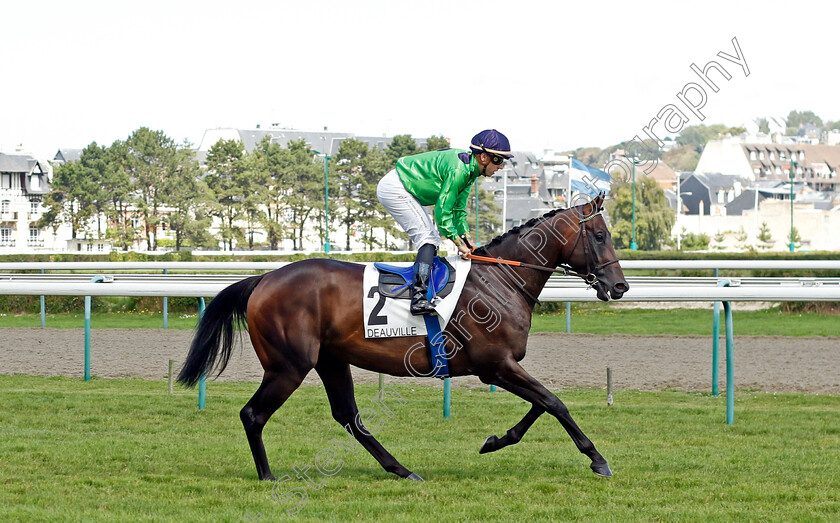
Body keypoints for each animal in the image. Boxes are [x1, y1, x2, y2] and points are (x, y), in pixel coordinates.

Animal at [180, 194, 632, 482]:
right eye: (599, 236)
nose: (620, 286)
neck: (501, 280)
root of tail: (263, 279)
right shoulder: (496, 365)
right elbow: (554, 402)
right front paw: (598, 460)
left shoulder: (501, 366)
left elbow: (543, 403)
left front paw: (495, 441)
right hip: (289, 365)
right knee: (253, 414)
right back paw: (268, 476)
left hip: (329, 360)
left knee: (349, 416)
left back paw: (401, 469)